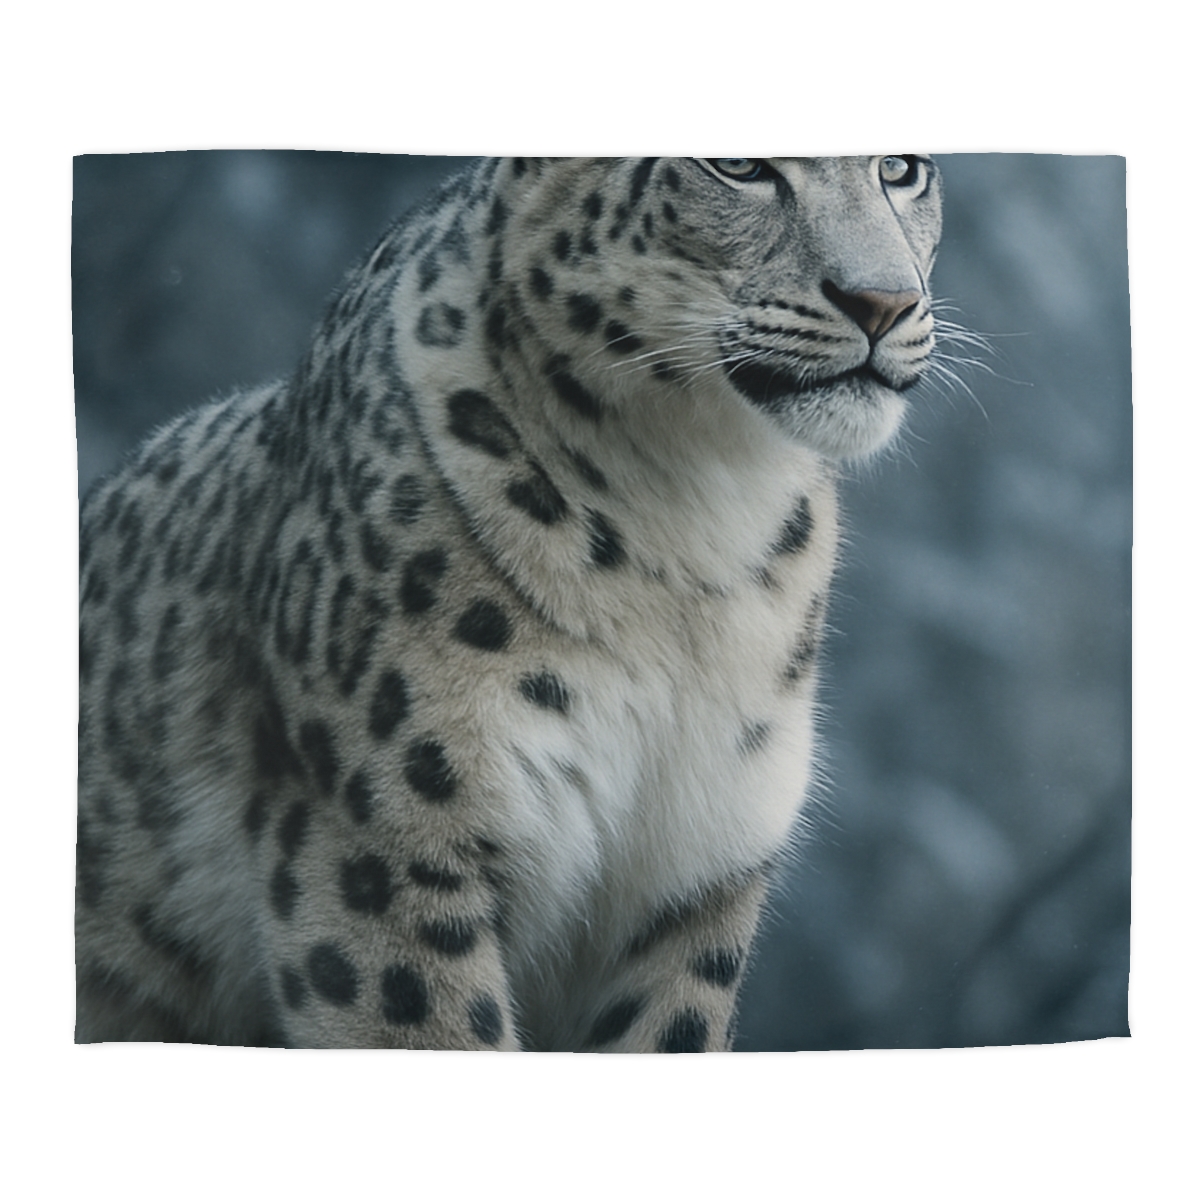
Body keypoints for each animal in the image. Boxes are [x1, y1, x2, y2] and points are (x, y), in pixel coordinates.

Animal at [76, 156, 943, 1050]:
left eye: (901, 169)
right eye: (736, 167)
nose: (885, 301)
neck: (700, 523)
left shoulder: (696, 881)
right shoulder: (387, 847)